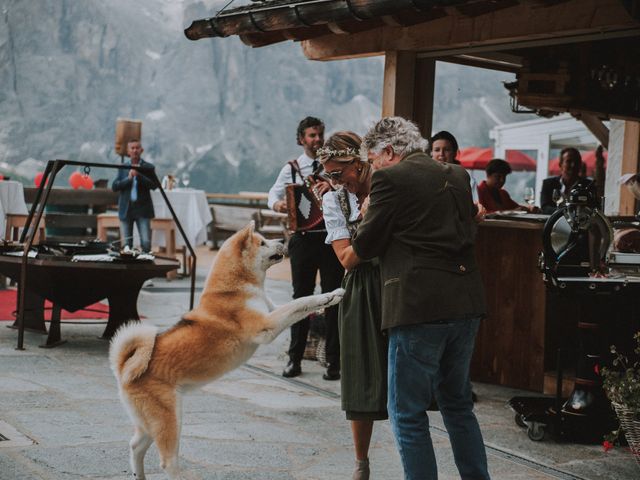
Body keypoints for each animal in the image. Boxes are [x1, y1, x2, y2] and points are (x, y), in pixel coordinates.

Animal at [109, 223, 344, 478]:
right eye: (262, 242)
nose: (283, 238)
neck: (234, 288)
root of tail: (124, 369)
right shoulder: (267, 326)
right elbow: (300, 302)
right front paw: (329, 295)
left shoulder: (272, 311)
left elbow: (302, 305)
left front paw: (331, 297)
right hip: (169, 419)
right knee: (167, 462)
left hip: (149, 424)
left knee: (135, 446)